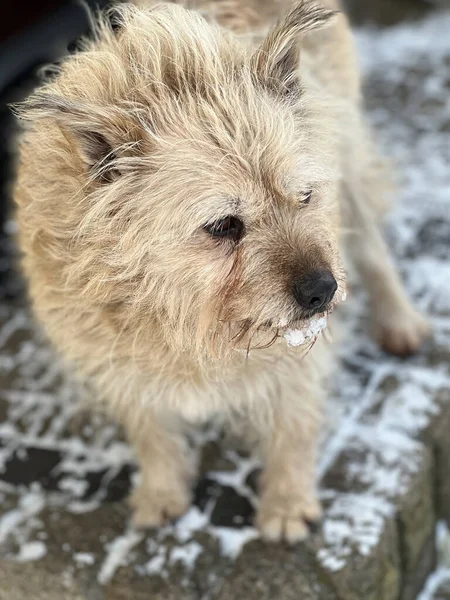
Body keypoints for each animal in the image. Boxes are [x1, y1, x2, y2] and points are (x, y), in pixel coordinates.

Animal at [12, 0, 430, 540]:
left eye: (305, 196)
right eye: (224, 225)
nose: (323, 290)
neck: (184, 315)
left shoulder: (296, 355)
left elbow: (293, 425)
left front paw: (287, 502)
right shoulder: (114, 362)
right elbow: (150, 433)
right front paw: (163, 491)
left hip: (349, 156)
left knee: (374, 251)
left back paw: (398, 321)